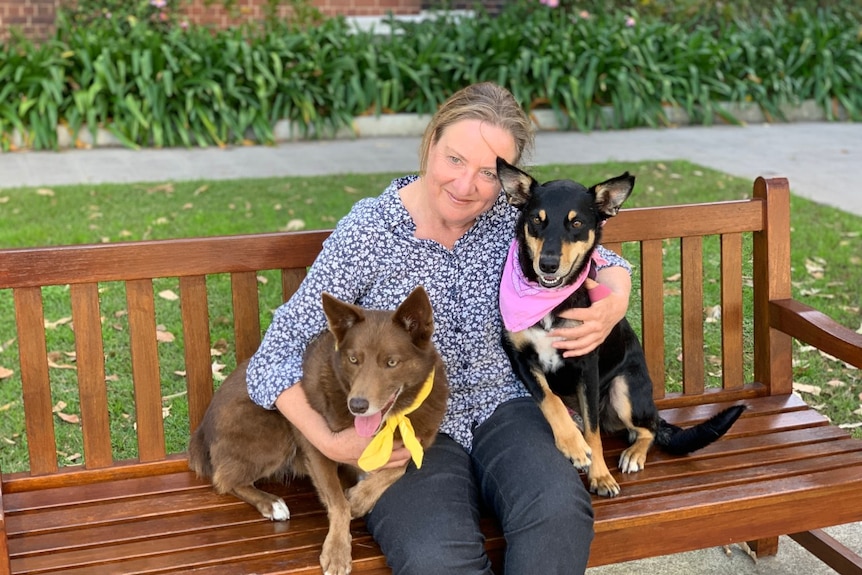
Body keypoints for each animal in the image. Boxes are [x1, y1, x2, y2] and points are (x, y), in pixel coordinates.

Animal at [187, 288, 446, 575]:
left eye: (391, 362)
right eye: (353, 359)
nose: (357, 405)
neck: (389, 422)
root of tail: (202, 430)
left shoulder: (415, 444)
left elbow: (396, 468)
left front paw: (361, 497)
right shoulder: (315, 445)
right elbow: (339, 503)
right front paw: (337, 551)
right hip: (276, 431)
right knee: (223, 480)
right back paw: (271, 503)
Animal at [500, 159, 748, 500]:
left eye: (576, 223)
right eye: (537, 220)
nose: (548, 264)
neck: (550, 301)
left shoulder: (586, 365)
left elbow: (593, 434)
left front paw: (600, 476)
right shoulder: (521, 358)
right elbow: (549, 399)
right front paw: (571, 444)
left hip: (624, 388)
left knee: (648, 429)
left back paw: (634, 454)